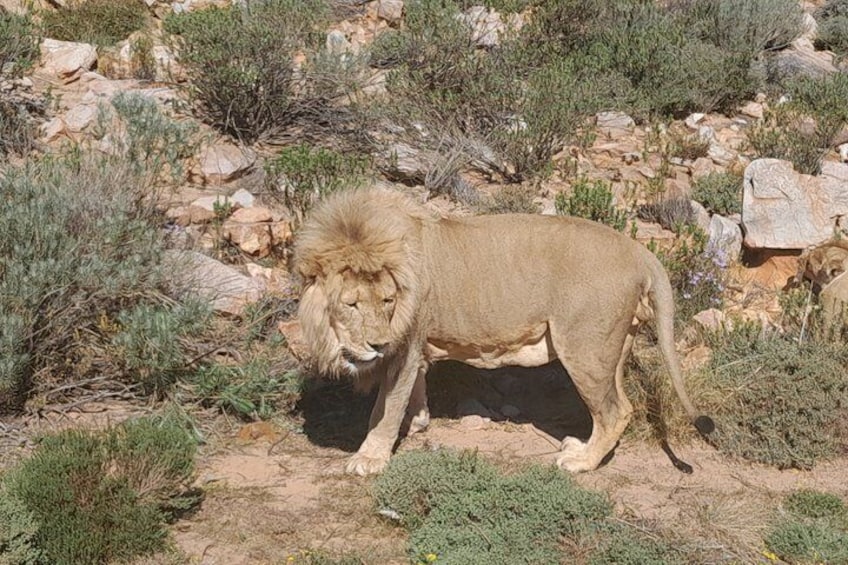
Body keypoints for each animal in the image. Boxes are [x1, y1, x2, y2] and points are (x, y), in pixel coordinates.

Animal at [293, 187, 715, 476]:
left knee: (615, 411)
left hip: (583, 349)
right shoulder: (415, 348)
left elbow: (385, 407)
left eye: (386, 301)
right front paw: (418, 421)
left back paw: (580, 462)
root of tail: (639, 250)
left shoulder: (403, 347)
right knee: (620, 404)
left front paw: (369, 458)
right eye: (352, 304)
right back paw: (581, 447)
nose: (376, 344)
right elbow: (414, 390)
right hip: (610, 348)